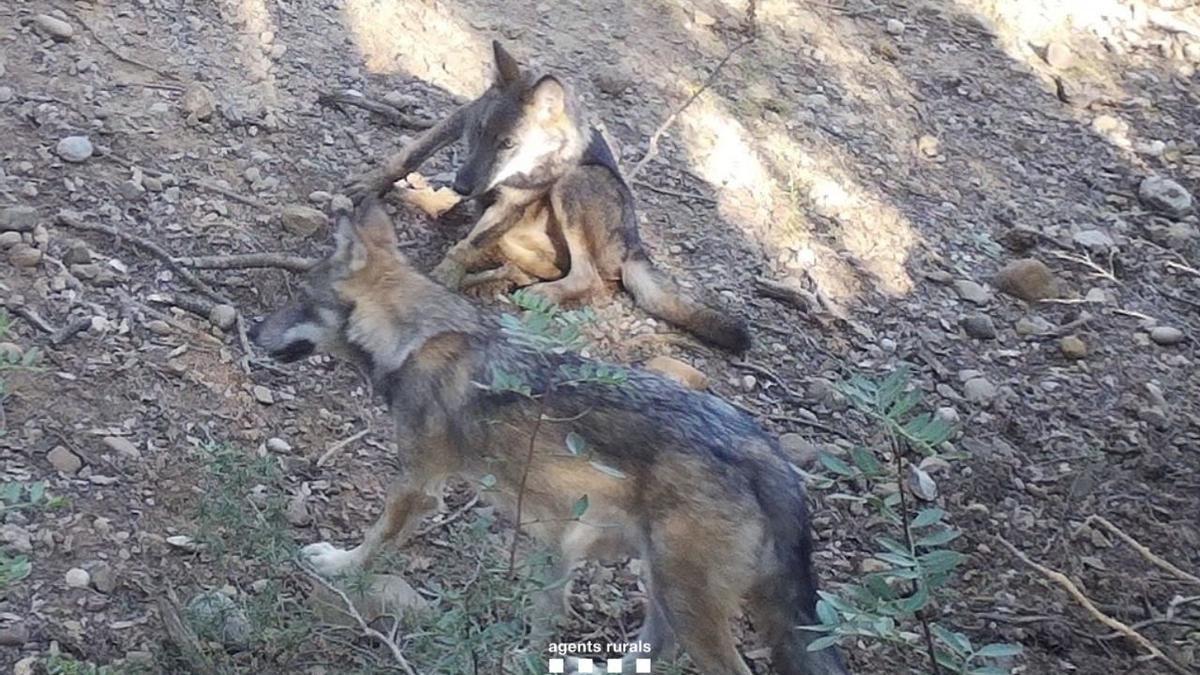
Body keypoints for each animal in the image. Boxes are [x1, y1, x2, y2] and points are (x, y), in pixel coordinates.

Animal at [250, 198, 848, 675]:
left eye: (300, 299)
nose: (253, 333)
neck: (416, 338)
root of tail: (765, 452)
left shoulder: (419, 485)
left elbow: (374, 542)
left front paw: (340, 565)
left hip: (686, 604)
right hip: (662, 589)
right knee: (649, 653)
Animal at [344, 41, 751, 352]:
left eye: (508, 144)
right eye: (479, 133)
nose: (462, 186)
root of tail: (635, 247)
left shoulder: (513, 202)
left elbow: (464, 247)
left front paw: (444, 278)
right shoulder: (460, 119)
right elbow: (409, 154)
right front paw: (369, 185)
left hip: (575, 183)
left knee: (590, 279)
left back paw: (533, 292)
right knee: (535, 265)